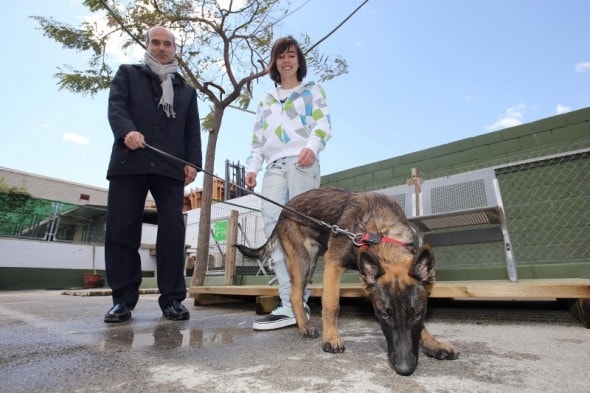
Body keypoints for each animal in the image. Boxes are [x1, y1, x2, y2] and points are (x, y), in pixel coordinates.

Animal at [238, 187, 460, 374]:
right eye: (383, 315)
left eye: (417, 314)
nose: (404, 368)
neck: (379, 231)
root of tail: (285, 209)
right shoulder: (333, 263)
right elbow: (331, 304)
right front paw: (331, 337)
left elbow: (420, 325)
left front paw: (433, 343)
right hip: (302, 259)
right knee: (294, 293)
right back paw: (304, 326)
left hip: (311, 262)